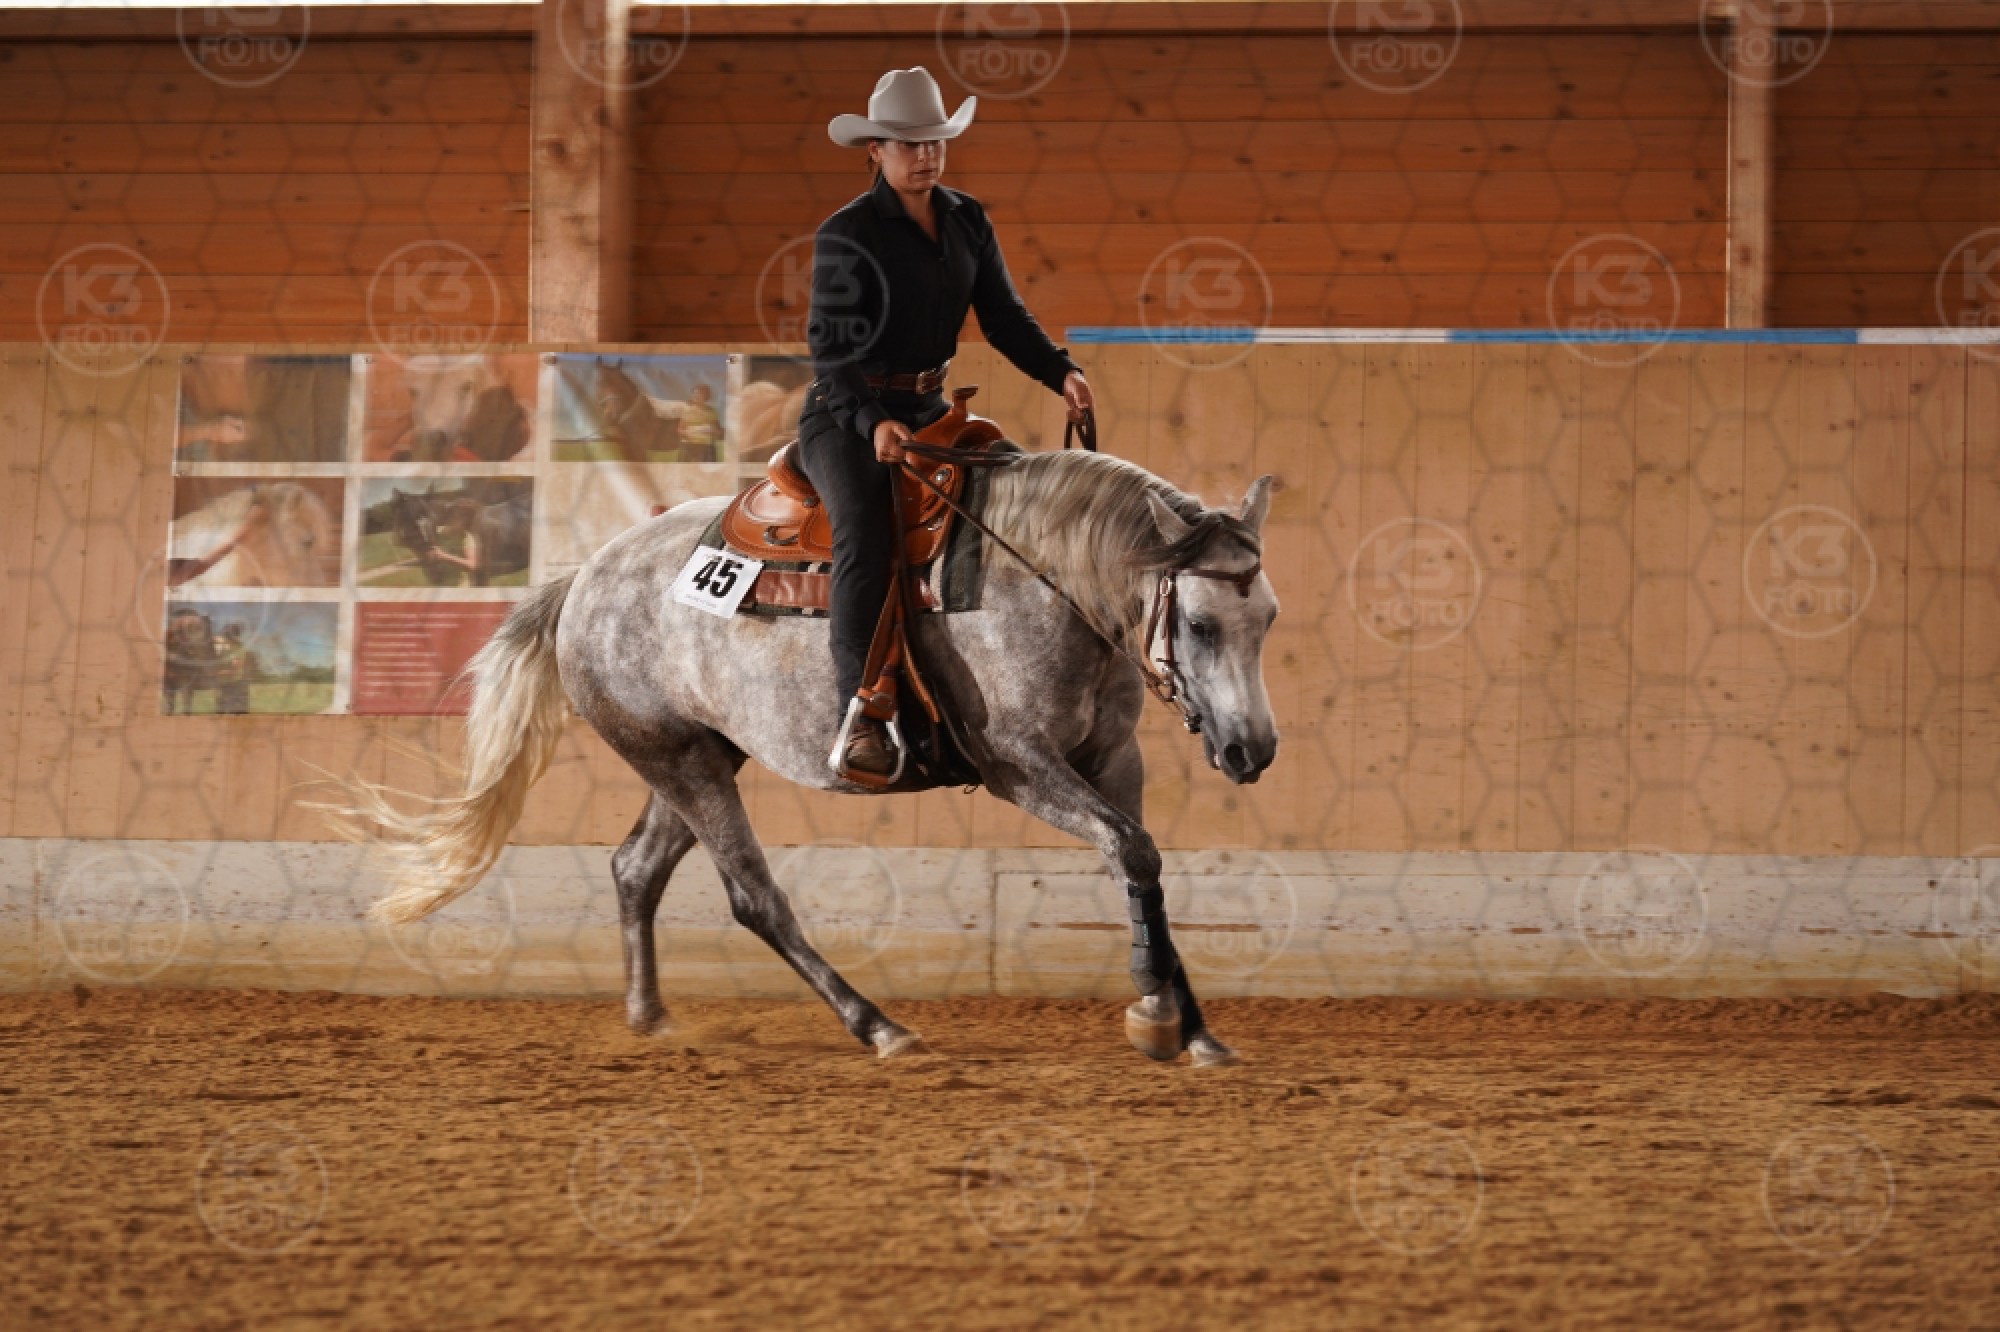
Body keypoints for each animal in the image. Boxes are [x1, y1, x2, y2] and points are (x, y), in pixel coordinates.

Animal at [326, 450, 1279, 1067]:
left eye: (1266, 617)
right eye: (1200, 623)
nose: (1253, 748)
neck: (1044, 580)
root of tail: (582, 582)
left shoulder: (1111, 760)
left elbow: (1139, 859)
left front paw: (1191, 1026)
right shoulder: (1018, 764)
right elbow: (1130, 848)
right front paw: (1157, 1009)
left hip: (694, 757)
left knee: (636, 869)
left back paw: (651, 1018)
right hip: (682, 762)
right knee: (755, 899)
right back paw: (877, 1026)